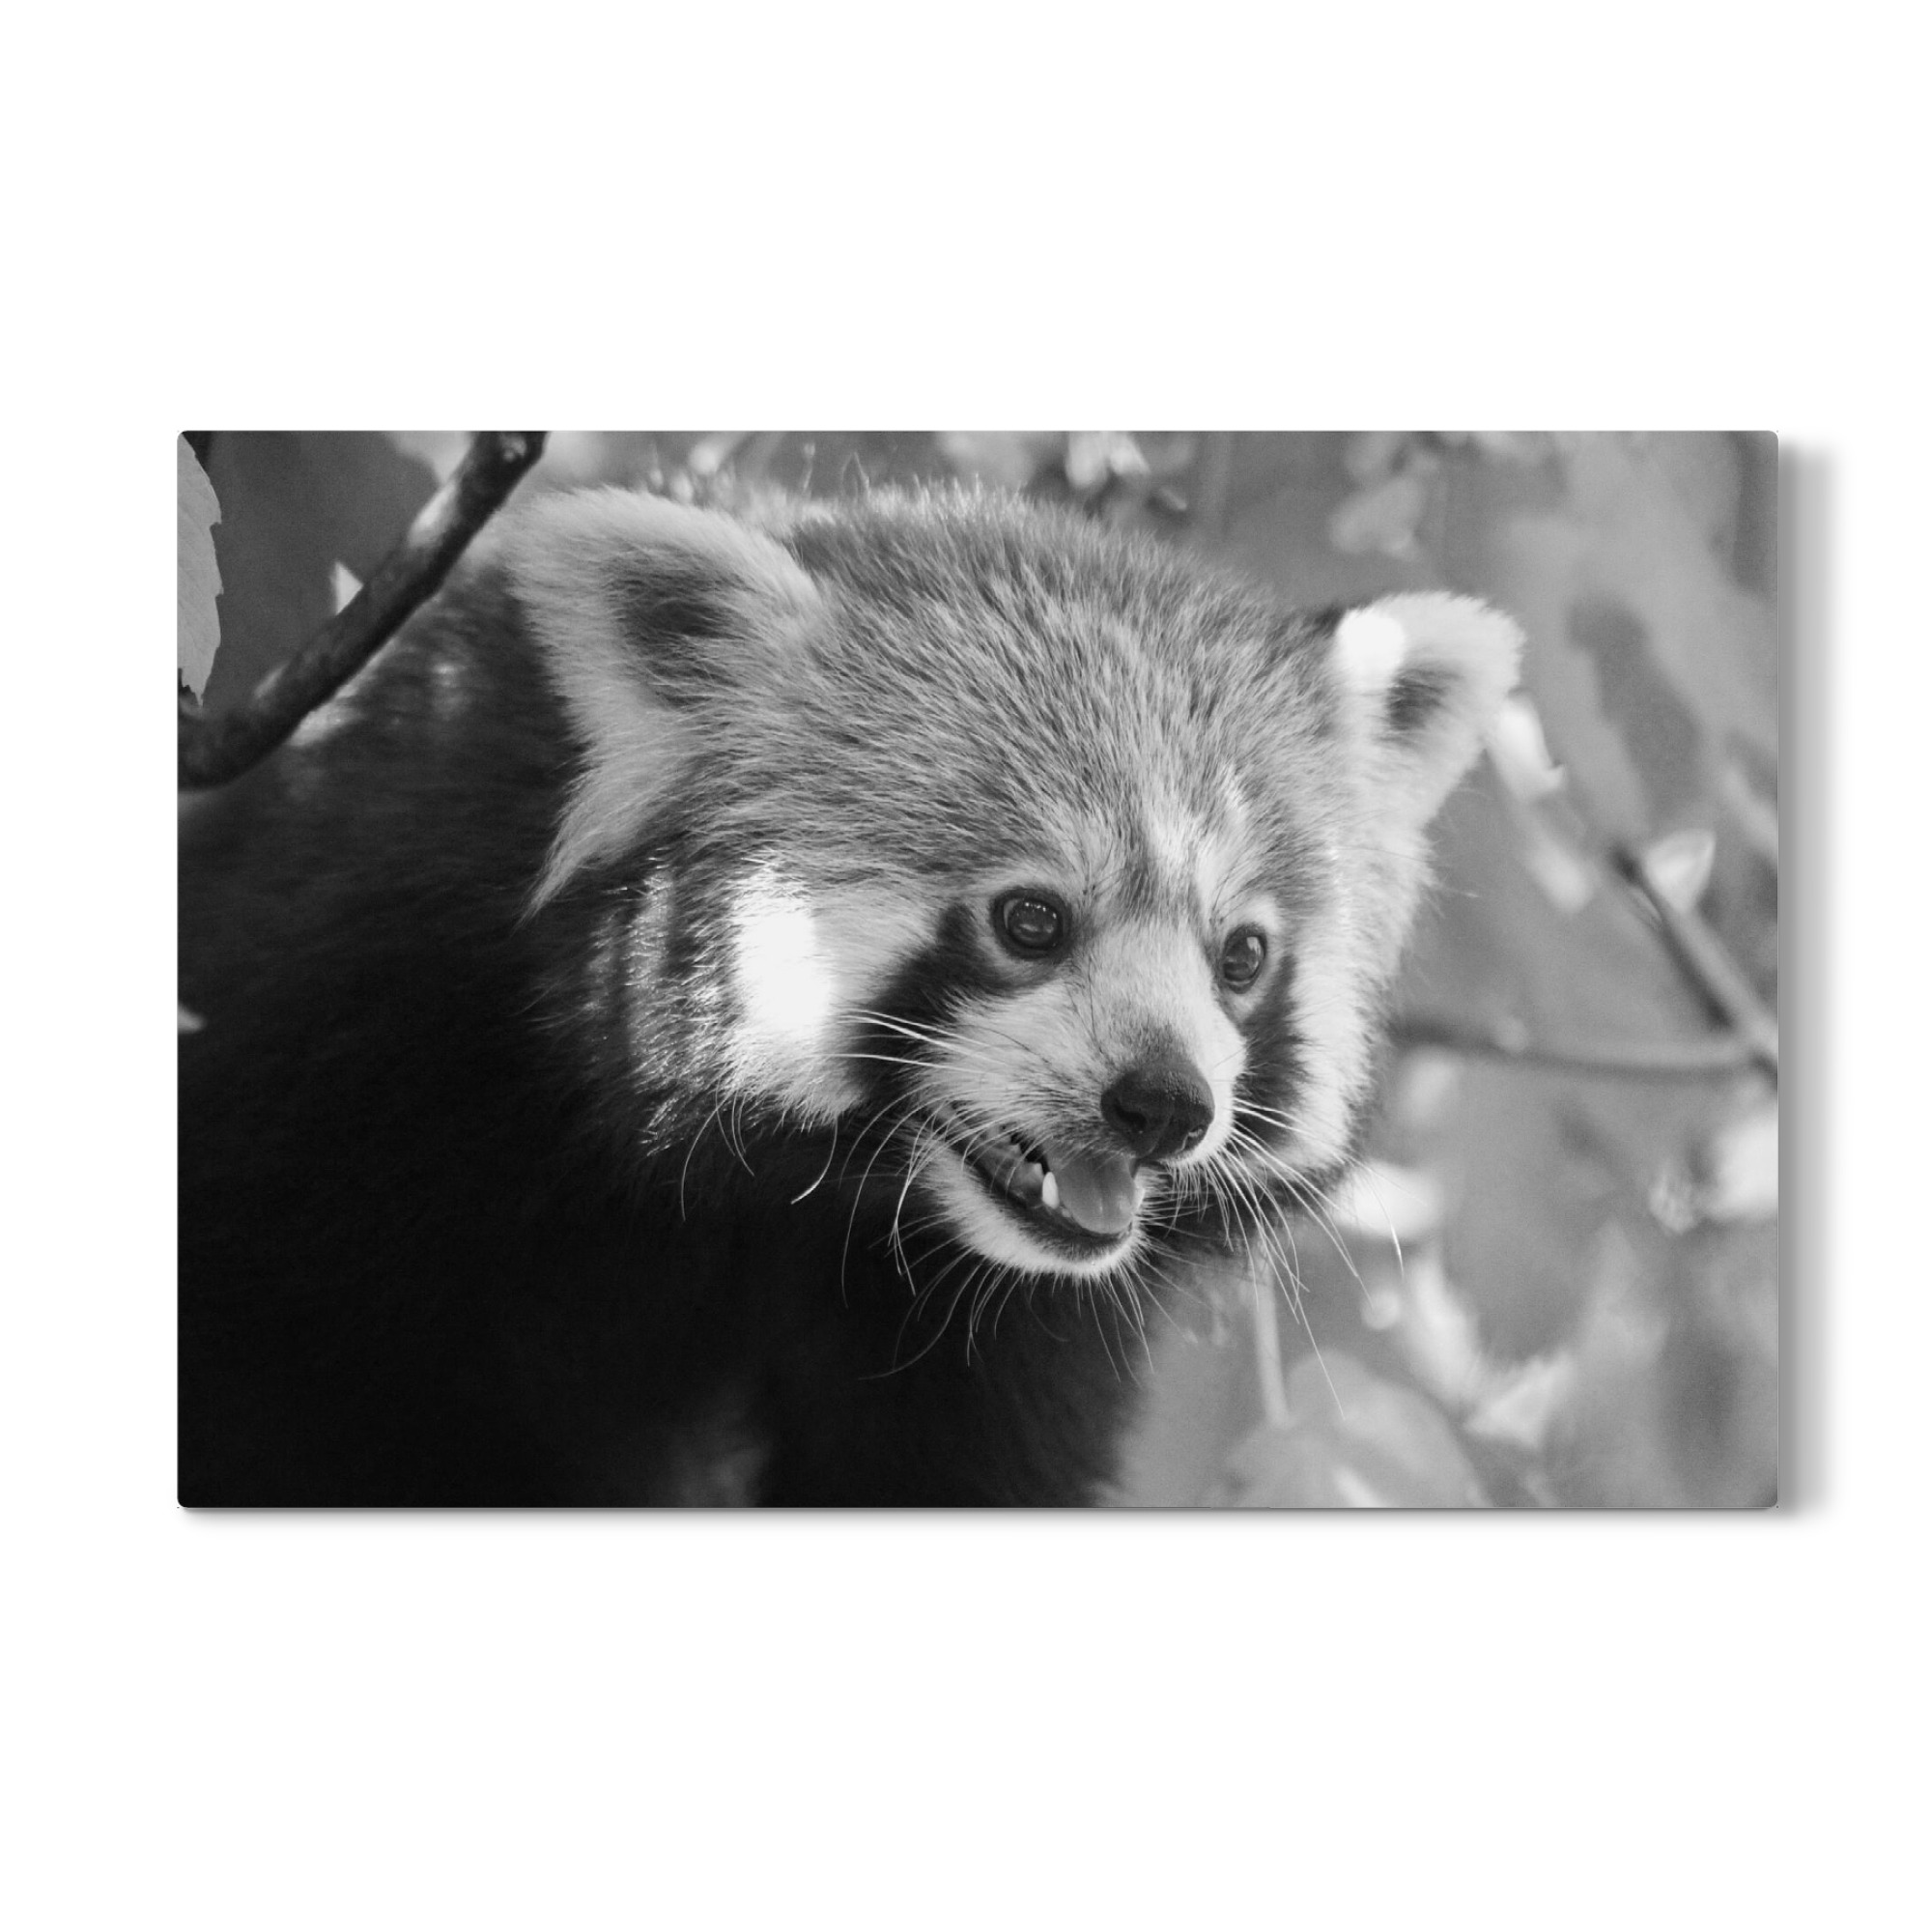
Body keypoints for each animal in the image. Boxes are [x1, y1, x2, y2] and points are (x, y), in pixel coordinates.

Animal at [178, 483, 1521, 1505]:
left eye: (1239, 954)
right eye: (1028, 919)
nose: (1161, 1105)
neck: (792, 1195)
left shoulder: (996, 1334)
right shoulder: (357, 1048)